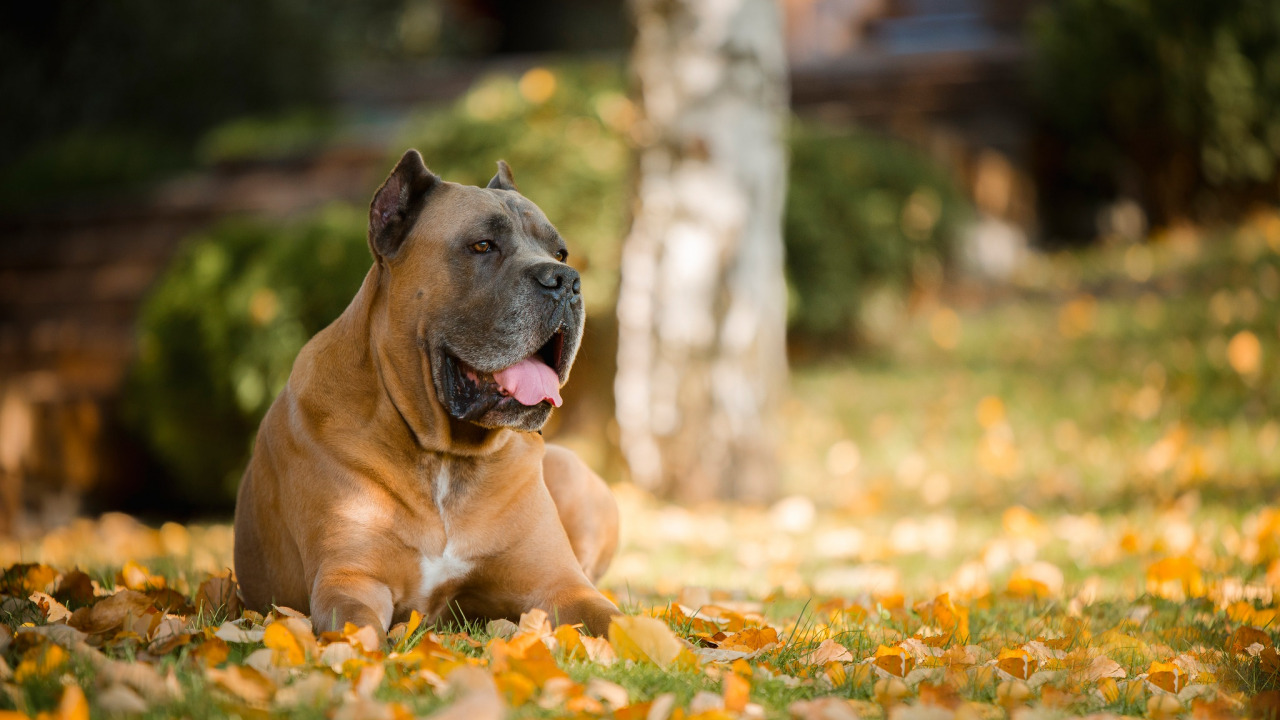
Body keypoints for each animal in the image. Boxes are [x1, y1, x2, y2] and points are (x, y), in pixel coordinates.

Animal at [239, 149, 624, 632]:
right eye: (482, 246)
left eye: (560, 252)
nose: (566, 280)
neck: (445, 456)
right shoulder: (349, 578)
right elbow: (359, 630)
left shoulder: (560, 584)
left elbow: (619, 621)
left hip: (570, 470)